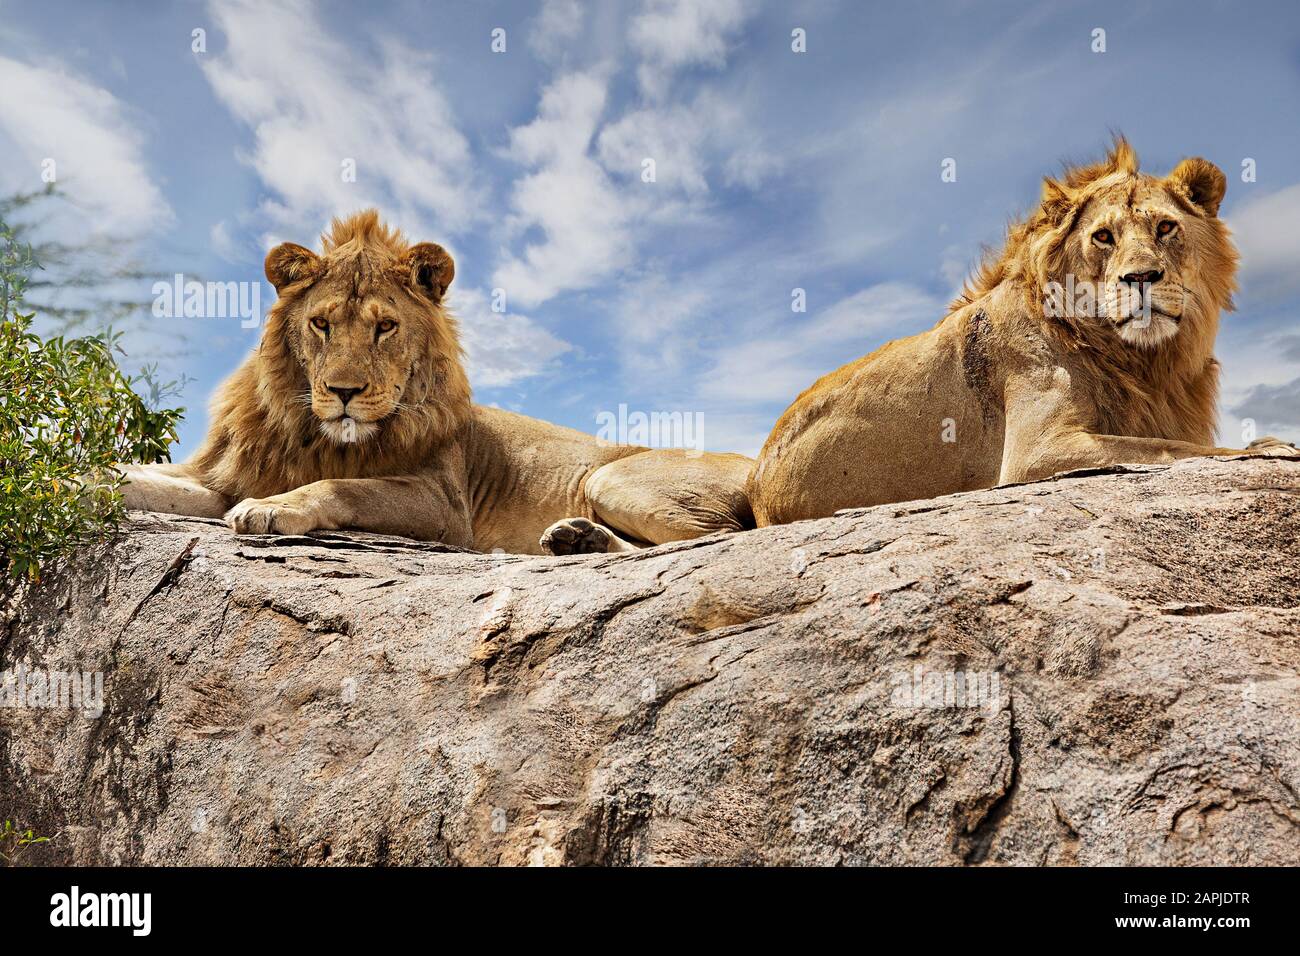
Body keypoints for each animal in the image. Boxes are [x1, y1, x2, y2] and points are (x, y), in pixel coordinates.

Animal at [122, 210, 753, 555]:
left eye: (385, 328)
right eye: (321, 324)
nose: (344, 393)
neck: (309, 431)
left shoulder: (445, 504)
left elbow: (341, 487)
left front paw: (272, 509)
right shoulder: (222, 477)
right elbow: (146, 480)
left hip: (611, 477)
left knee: (719, 537)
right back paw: (578, 539)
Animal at [748, 138, 1298, 526]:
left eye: (1165, 228)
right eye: (1103, 237)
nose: (1141, 276)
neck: (1144, 360)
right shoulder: (1037, 450)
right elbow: (1175, 450)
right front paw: (1272, 447)